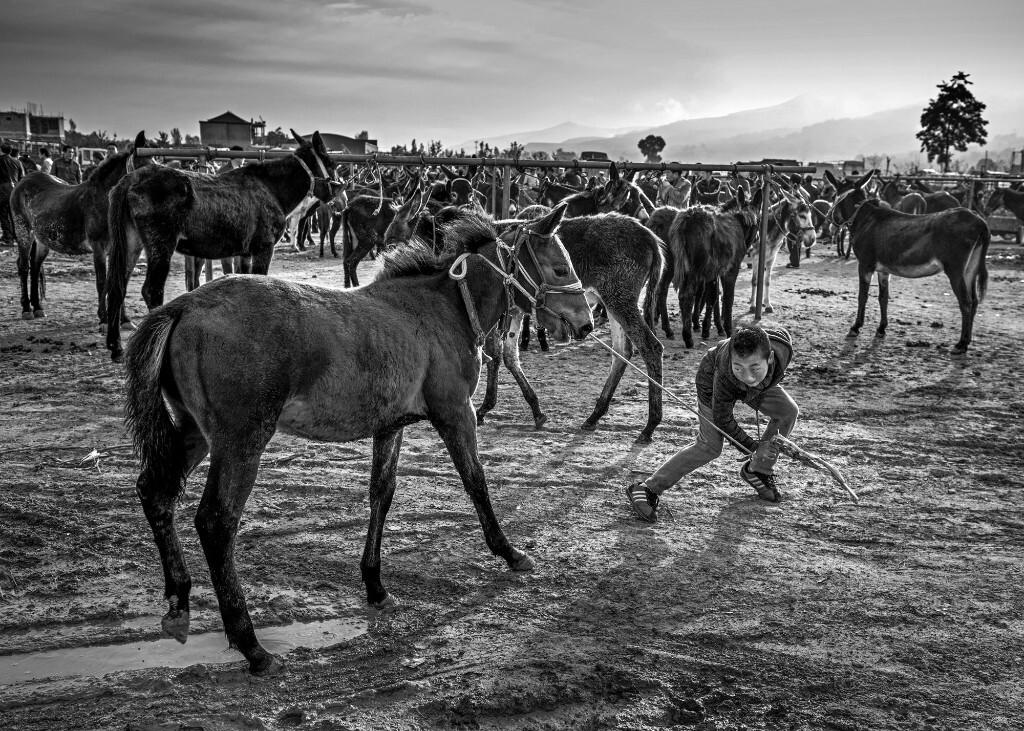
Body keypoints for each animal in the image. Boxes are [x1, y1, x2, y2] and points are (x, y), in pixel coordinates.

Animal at [10, 132, 148, 325]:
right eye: (142, 167)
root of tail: (23, 181)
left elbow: (120, 282)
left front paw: (125, 320)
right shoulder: (99, 248)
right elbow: (101, 282)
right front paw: (104, 320)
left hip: (42, 239)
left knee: (35, 266)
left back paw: (37, 308)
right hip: (24, 232)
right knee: (23, 267)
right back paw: (26, 309)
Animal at [105, 132, 333, 360]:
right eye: (330, 163)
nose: (335, 190)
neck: (272, 189)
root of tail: (132, 179)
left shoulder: (245, 253)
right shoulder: (264, 248)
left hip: (132, 243)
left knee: (117, 286)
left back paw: (115, 346)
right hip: (161, 245)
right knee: (151, 290)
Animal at [119, 203, 593, 671]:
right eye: (559, 267)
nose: (586, 324)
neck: (444, 309)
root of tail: (183, 306)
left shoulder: (390, 426)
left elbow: (381, 493)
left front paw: (375, 584)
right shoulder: (457, 414)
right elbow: (476, 482)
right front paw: (509, 552)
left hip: (196, 433)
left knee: (155, 492)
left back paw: (179, 596)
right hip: (241, 442)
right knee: (216, 523)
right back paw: (250, 643)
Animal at [827, 170, 987, 352]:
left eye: (833, 196)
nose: (831, 226)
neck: (864, 217)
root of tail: (979, 221)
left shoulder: (865, 265)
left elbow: (863, 296)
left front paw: (855, 327)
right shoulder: (883, 270)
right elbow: (883, 297)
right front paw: (881, 329)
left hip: (955, 270)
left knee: (966, 303)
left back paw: (961, 344)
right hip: (970, 269)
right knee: (974, 302)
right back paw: (967, 341)